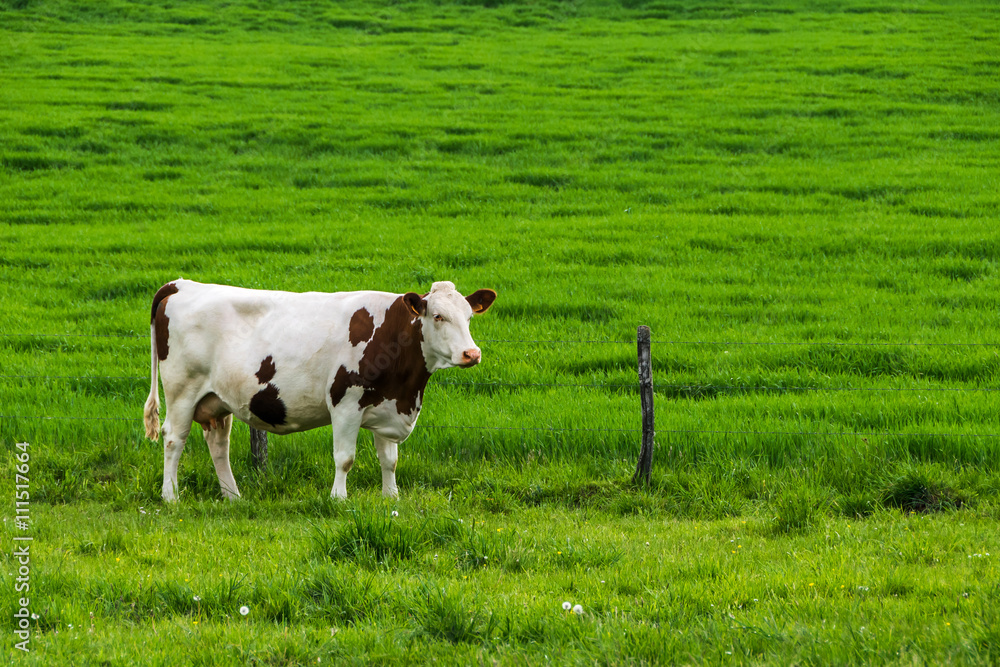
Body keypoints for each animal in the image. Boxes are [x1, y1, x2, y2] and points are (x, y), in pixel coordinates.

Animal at [144, 280, 496, 504]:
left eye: (469, 317)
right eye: (438, 316)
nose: (471, 354)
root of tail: (182, 284)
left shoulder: (386, 402)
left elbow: (389, 460)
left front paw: (391, 497)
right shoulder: (346, 402)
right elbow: (345, 458)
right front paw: (338, 499)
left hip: (217, 400)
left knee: (218, 445)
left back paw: (233, 497)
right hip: (182, 389)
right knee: (174, 438)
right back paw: (170, 496)